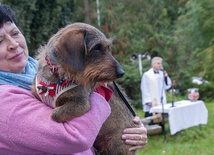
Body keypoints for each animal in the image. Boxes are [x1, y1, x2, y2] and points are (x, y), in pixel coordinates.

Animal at [31, 22, 136, 154]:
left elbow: (54, 113)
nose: (121, 72)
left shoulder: (81, 103)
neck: (60, 75)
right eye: (97, 47)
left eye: (107, 47)